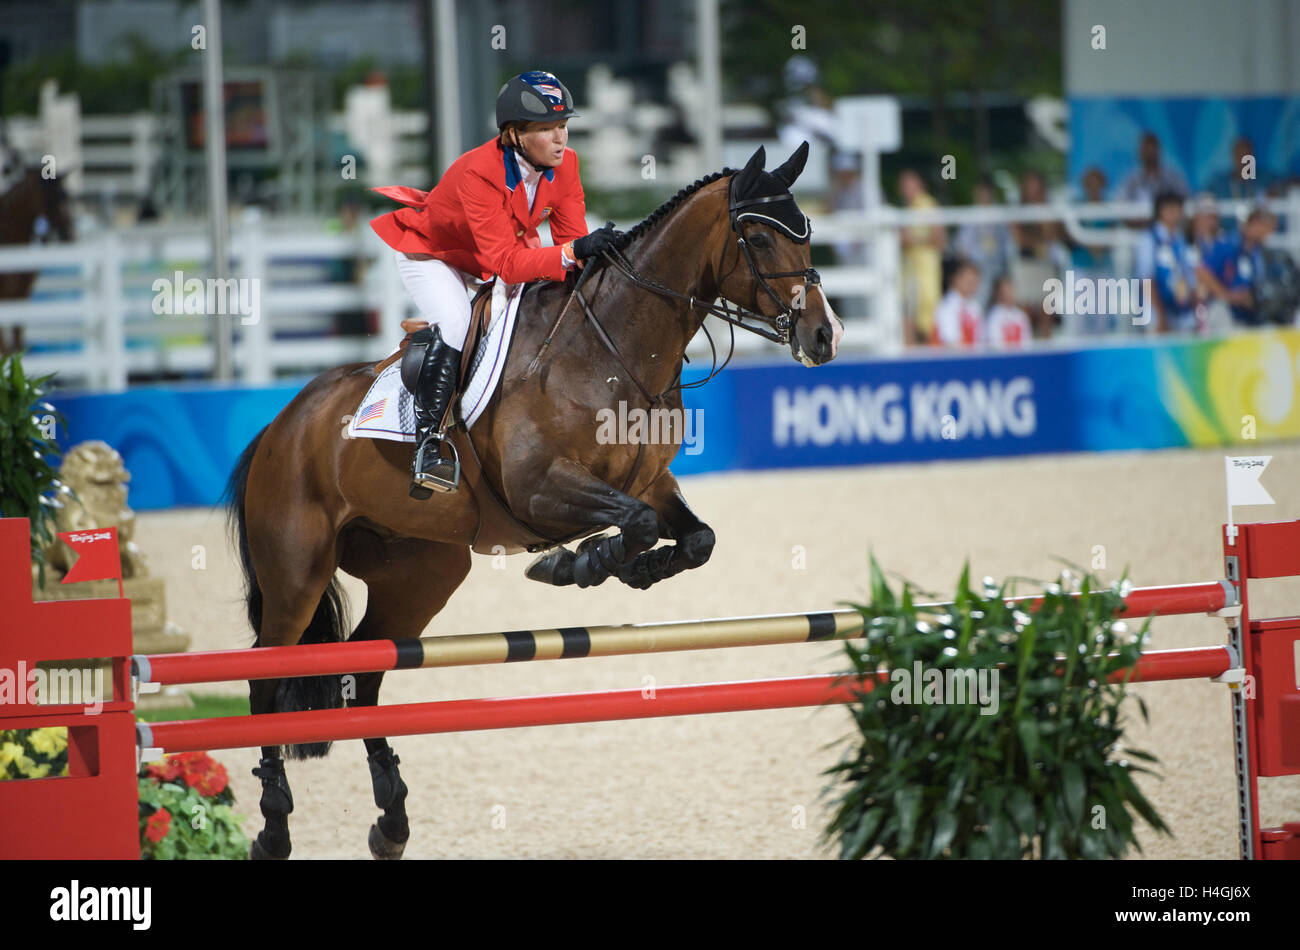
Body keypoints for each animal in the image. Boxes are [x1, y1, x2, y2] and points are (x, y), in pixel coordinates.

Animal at [0, 165, 74, 356]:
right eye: (52, 199)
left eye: (67, 197)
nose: (70, 234)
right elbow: (7, 347)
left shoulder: (22, 296)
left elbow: (17, 344)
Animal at [227, 142, 842, 862]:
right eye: (760, 236)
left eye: (805, 230)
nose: (824, 336)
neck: (614, 348)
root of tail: (279, 427)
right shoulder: (541, 487)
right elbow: (633, 525)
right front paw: (575, 565)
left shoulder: (648, 482)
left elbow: (694, 538)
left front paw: (624, 568)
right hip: (297, 573)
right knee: (267, 678)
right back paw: (273, 826)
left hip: (421, 575)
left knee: (365, 677)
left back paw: (391, 821)